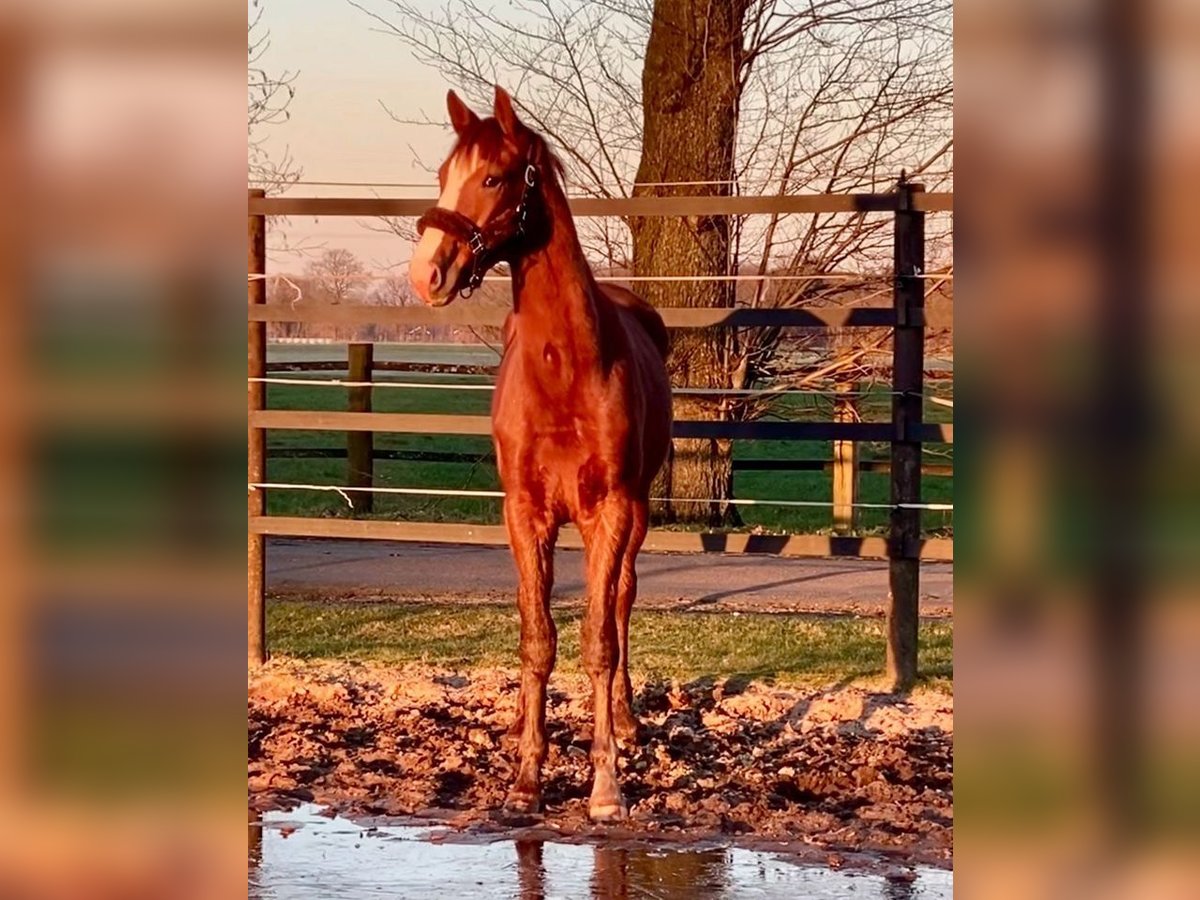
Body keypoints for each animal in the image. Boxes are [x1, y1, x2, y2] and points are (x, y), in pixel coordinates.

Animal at [408, 88, 672, 820]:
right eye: (444, 174)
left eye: (495, 178)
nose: (426, 273)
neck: (564, 367)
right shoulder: (524, 513)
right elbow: (537, 638)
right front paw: (526, 777)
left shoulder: (609, 511)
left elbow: (599, 639)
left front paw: (606, 786)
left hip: (636, 516)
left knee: (623, 601)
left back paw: (628, 721)